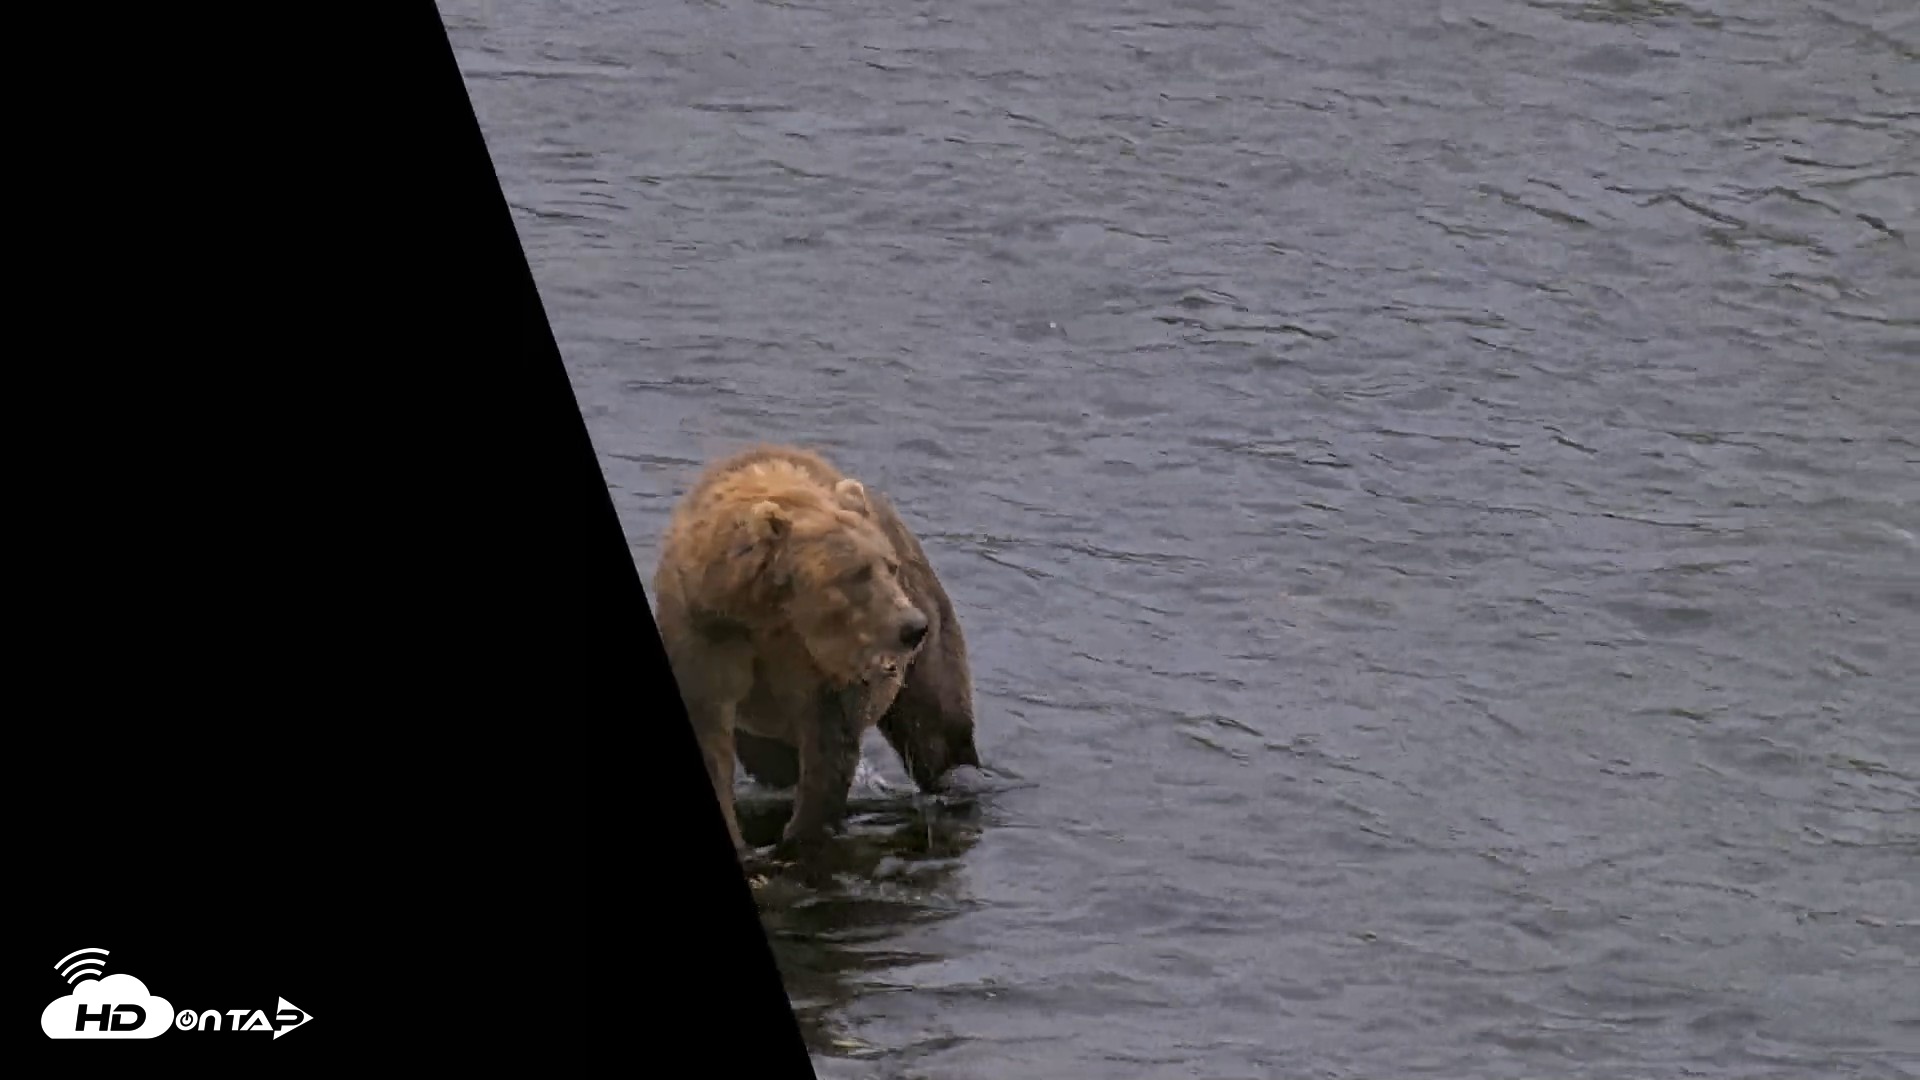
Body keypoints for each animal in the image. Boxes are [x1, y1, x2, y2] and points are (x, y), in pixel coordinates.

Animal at [652, 444, 979, 863]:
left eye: (889, 566)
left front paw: (802, 835)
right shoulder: (707, 635)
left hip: (927, 630)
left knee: (936, 725)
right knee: (773, 763)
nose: (912, 627)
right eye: (856, 573)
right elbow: (709, 734)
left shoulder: (824, 667)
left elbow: (829, 745)